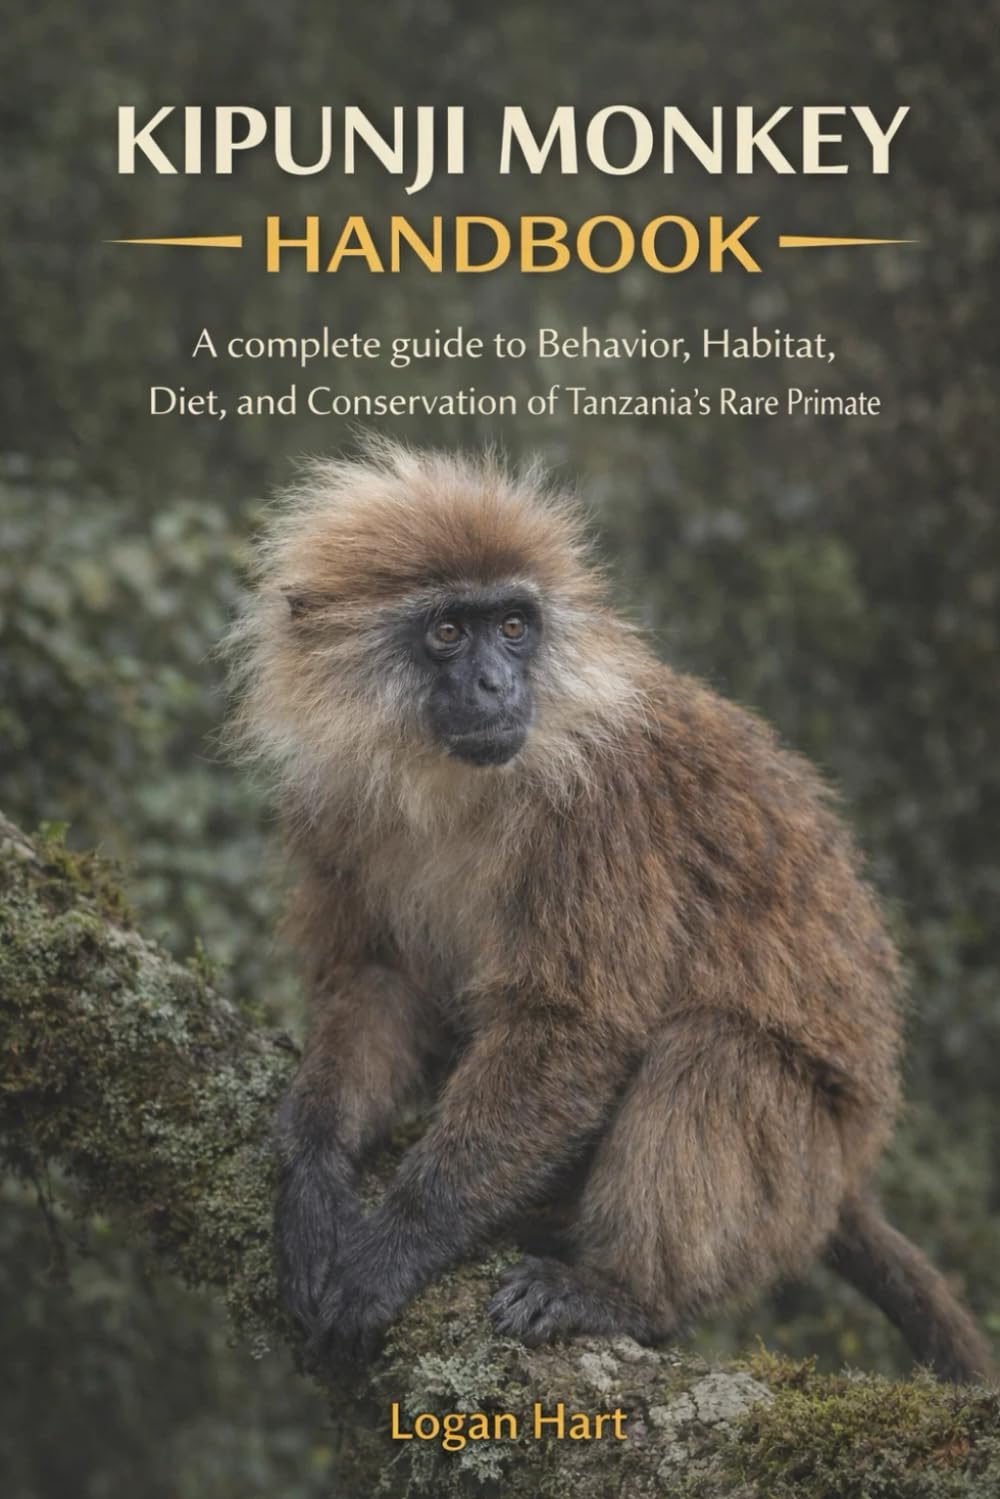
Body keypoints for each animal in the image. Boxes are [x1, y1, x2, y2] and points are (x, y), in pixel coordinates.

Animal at [226, 438, 994, 1382]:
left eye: (512, 626)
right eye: (448, 630)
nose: (495, 682)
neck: (457, 786)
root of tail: (846, 1182)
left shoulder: (598, 806)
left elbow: (574, 1023)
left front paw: (400, 1240)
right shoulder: (333, 799)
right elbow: (377, 981)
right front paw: (313, 1174)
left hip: (798, 1180)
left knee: (714, 1052)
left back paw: (627, 1294)